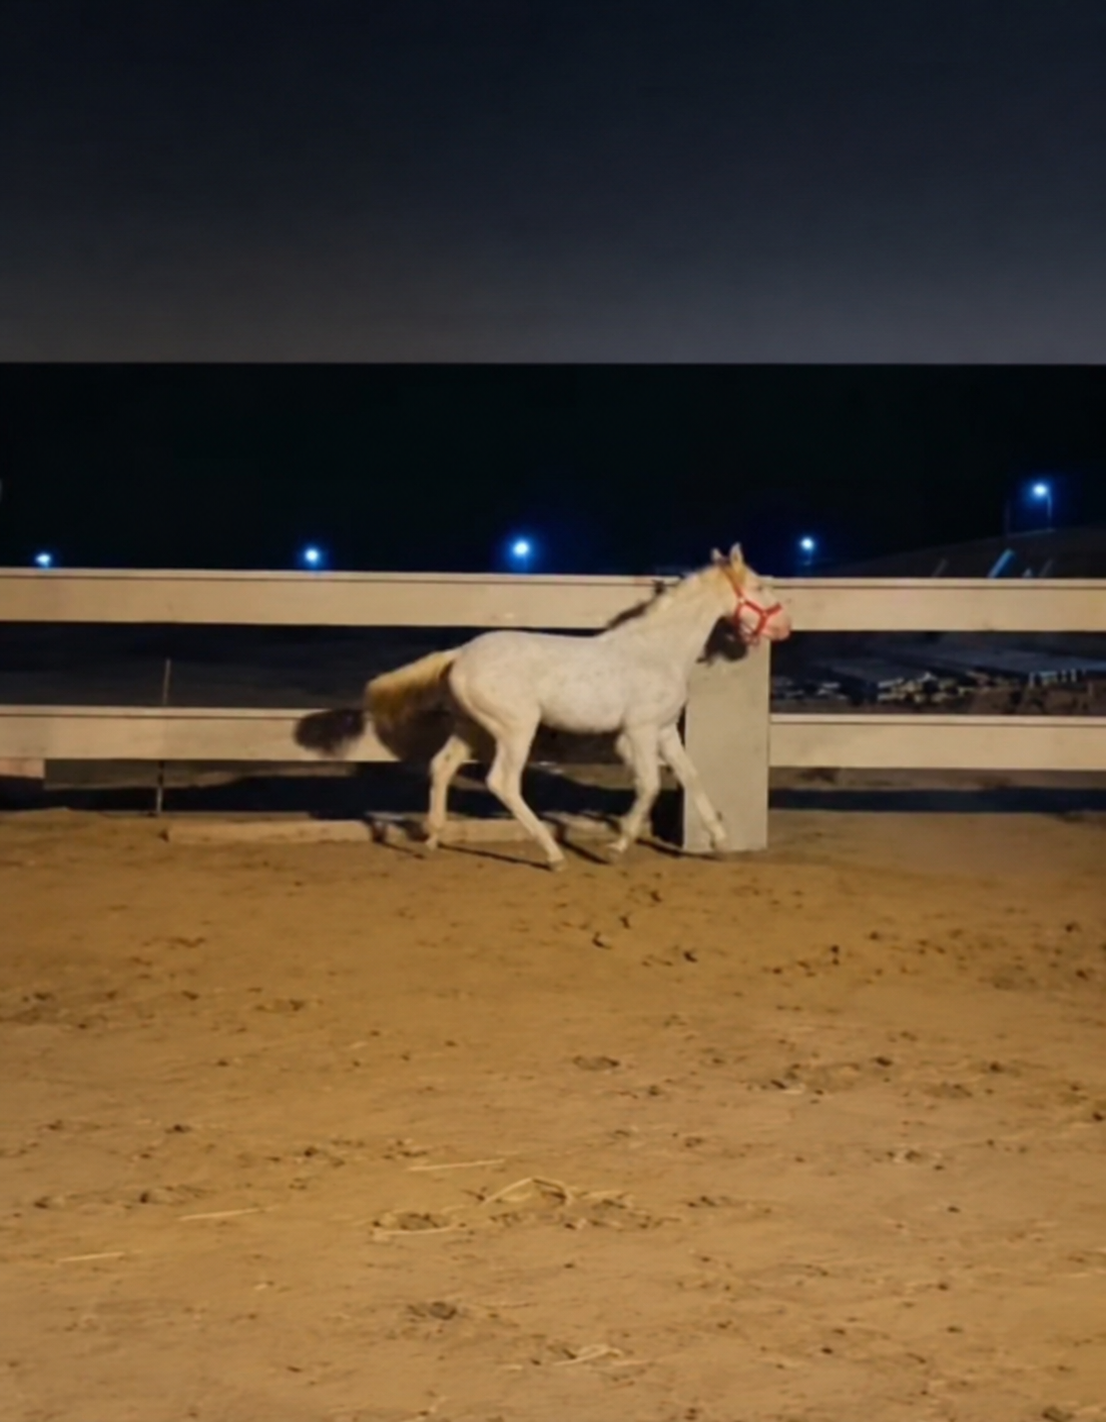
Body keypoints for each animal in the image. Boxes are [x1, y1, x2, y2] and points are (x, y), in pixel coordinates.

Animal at [295, 545, 792, 870]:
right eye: (760, 585)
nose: (784, 626)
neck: (658, 650)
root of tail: (460, 654)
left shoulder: (665, 729)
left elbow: (690, 776)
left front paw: (722, 841)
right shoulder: (639, 730)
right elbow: (649, 786)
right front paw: (616, 847)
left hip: (471, 727)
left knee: (442, 766)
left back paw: (432, 838)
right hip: (516, 728)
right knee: (502, 782)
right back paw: (552, 855)